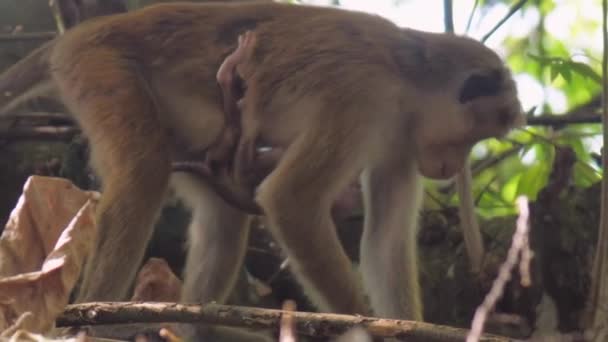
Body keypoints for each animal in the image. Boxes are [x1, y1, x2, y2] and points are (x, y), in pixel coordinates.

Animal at [0, 2, 524, 340]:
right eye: (472, 136)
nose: (452, 166)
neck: (409, 78)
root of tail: (74, 37)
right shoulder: (360, 95)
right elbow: (291, 199)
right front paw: (362, 327)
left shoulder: (399, 144)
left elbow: (383, 246)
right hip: (101, 68)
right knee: (144, 172)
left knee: (222, 219)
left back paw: (184, 328)